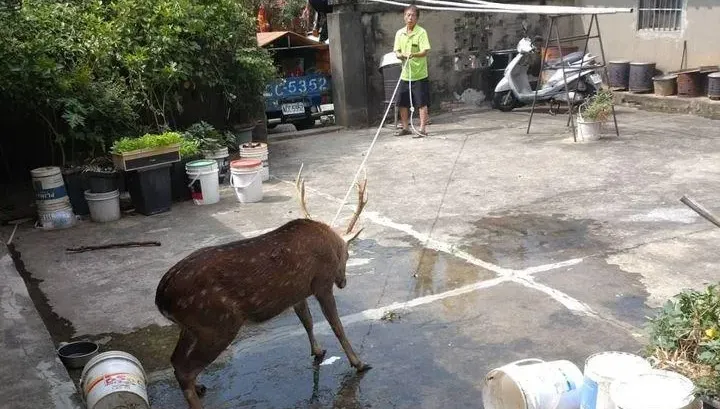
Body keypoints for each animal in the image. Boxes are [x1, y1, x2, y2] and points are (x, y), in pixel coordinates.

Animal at [154, 165, 371, 409]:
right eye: (347, 255)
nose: (343, 283)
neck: (330, 243)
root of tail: (161, 297)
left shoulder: (297, 292)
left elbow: (307, 320)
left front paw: (317, 350)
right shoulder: (321, 283)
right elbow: (336, 326)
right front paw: (359, 363)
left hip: (192, 327)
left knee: (175, 360)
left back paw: (199, 386)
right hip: (217, 323)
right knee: (185, 369)